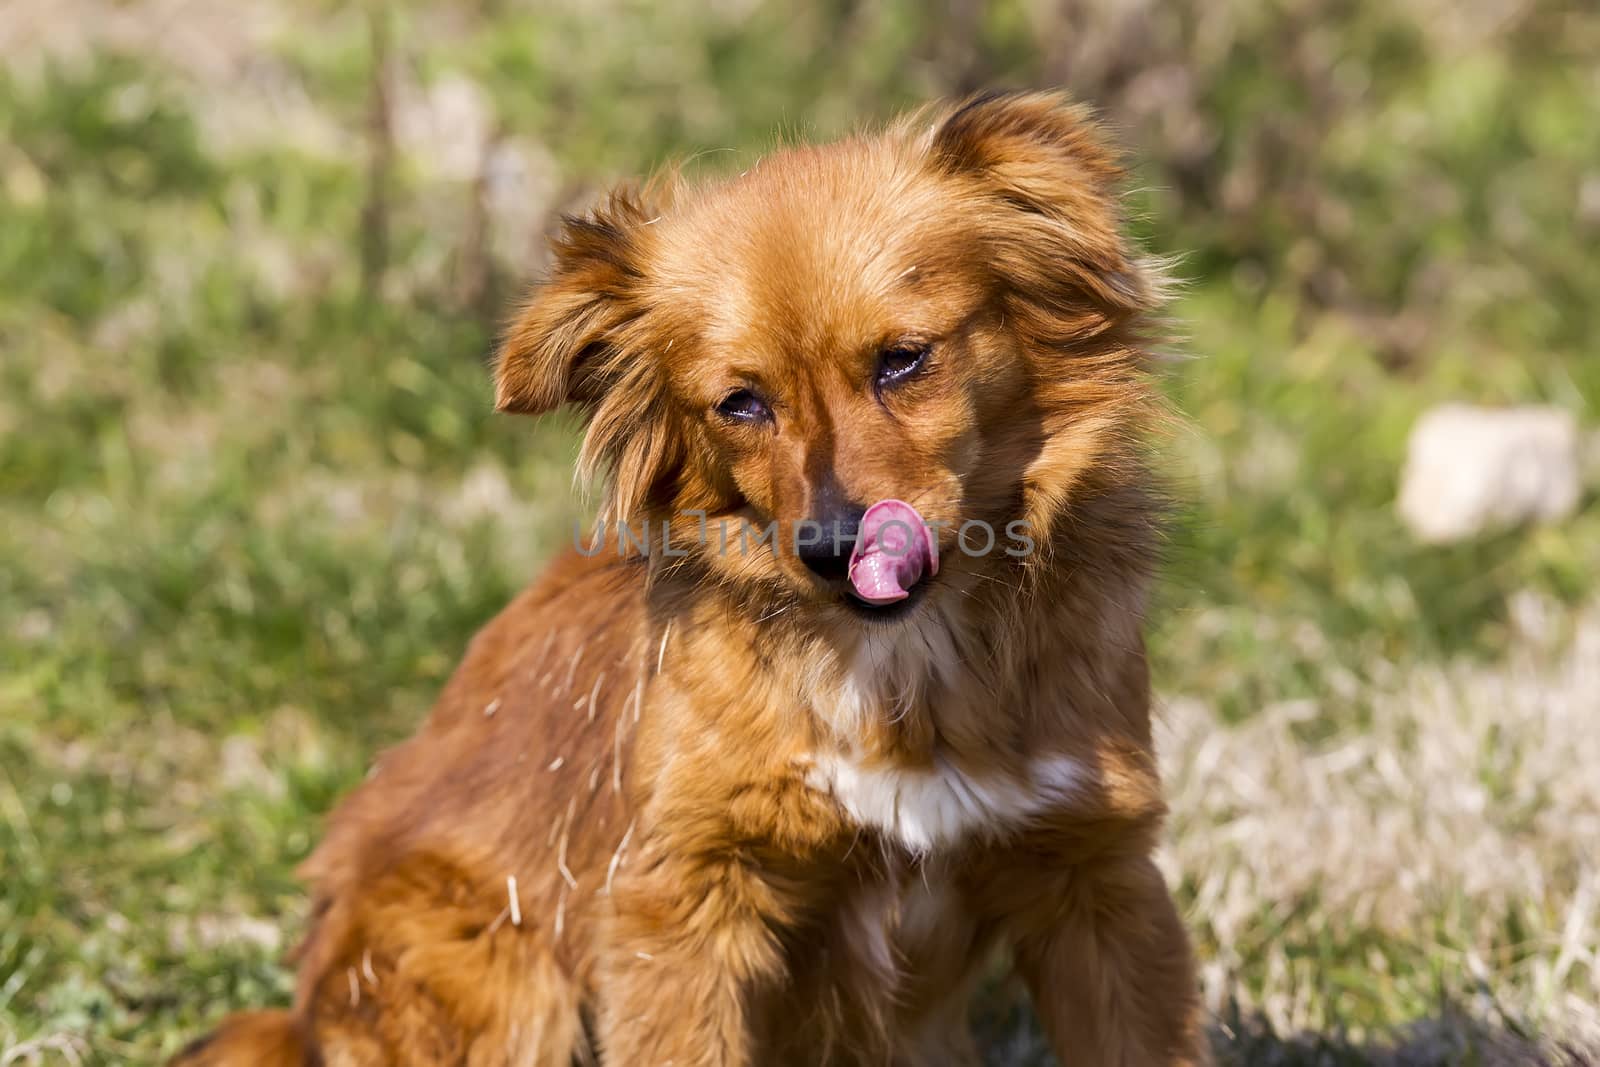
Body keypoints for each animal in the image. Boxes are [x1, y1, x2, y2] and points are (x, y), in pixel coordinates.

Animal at [172, 93, 1203, 1067]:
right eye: (741, 403)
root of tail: (301, 1013)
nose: (834, 546)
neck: (898, 666)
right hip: (497, 969)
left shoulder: (1097, 877)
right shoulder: (680, 904)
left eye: (903, 359)